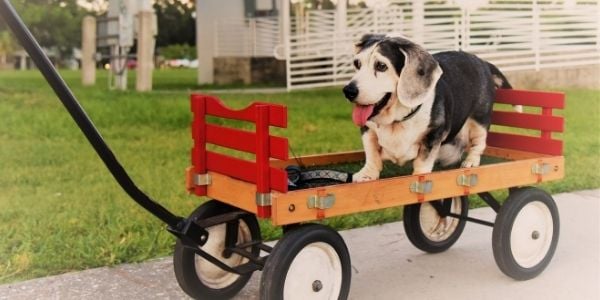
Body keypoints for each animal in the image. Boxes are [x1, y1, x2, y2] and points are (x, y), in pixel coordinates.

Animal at [342, 34, 516, 182]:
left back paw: (471, 161)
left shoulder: (433, 135)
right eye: (357, 64)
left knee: (478, 143)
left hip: (479, 120)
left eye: (381, 66)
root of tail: (481, 62)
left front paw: (420, 176)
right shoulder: (367, 129)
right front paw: (367, 174)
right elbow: (371, 153)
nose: (348, 91)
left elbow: (422, 161)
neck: (397, 120)